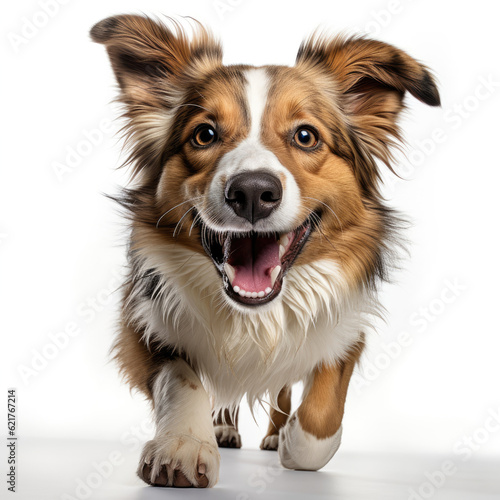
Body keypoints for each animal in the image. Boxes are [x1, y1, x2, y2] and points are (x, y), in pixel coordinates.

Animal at [89, 14, 438, 488]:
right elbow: (183, 378)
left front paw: (293, 440)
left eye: (306, 136)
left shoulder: (347, 327)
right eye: (204, 134)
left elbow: (320, 415)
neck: (253, 318)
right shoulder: (141, 320)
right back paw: (221, 428)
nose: (252, 192)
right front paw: (184, 445)